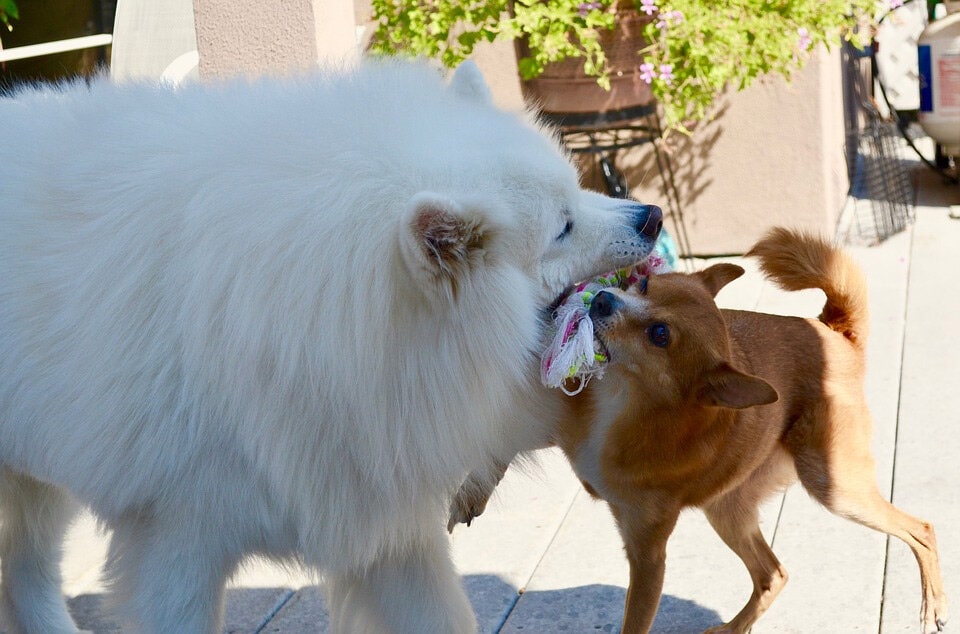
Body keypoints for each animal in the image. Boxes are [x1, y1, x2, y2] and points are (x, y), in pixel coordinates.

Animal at [0, 60, 660, 632]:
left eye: (577, 192)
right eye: (562, 227)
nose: (651, 216)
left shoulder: (383, 519)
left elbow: (442, 616)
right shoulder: (176, 542)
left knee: (23, 571)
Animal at [552, 228, 948, 632]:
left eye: (659, 334)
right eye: (644, 284)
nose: (601, 299)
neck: (625, 400)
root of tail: (835, 334)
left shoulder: (648, 557)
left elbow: (634, 621)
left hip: (834, 488)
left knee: (921, 529)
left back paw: (933, 603)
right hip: (728, 510)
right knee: (773, 574)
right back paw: (733, 627)